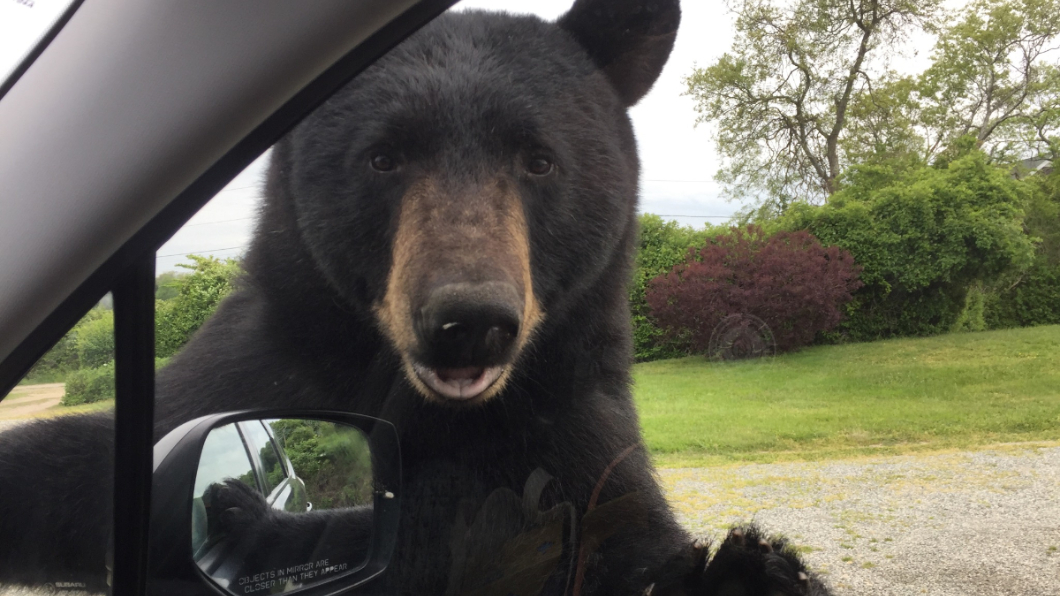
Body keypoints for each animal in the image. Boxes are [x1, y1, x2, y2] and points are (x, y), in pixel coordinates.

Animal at [0, 1, 831, 594]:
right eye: (382, 157)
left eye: (539, 159)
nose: (468, 323)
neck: (438, 413)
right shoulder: (254, 371)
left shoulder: (572, 428)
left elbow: (624, 542)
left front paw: (751, 570)